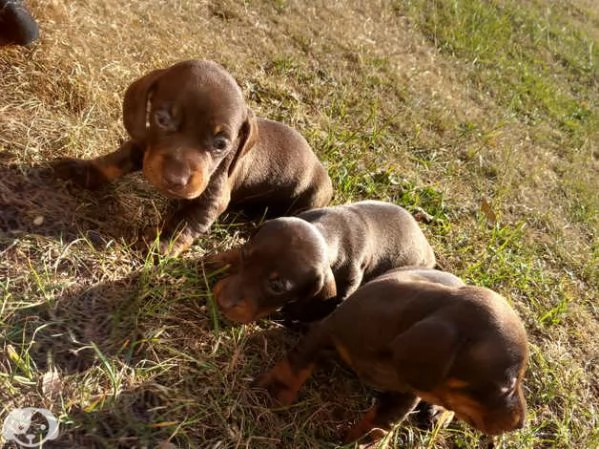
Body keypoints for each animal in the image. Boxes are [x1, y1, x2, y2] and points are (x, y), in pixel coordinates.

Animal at [54, 60, 336, 256]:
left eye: (221, 144)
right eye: (162, 119)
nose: (175, 179)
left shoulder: (212, 198)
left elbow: (186, 224)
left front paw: (164, 244)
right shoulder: (145, 146)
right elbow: (116, 160)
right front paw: (85, 170)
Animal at [258, 268, 528, 442]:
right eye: (507, 385)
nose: (521, 424)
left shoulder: (408, 395)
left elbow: (379, 424)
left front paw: (359, 441)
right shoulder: (325, 332)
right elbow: (296, 365)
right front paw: (274, 393)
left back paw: (440, 413)